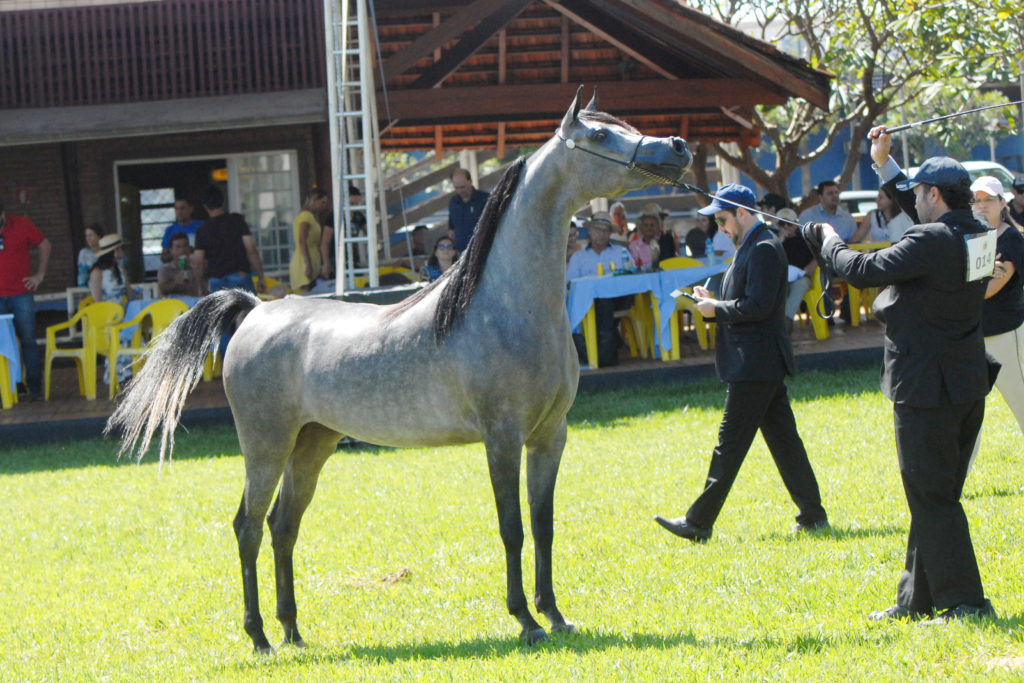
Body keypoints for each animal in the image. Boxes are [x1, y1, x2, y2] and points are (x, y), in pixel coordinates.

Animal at [108, 90, 692, 651]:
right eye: (601, 135)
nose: (678, 147)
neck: (505, 307)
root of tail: (254, 309)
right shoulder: (501, 438)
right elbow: (512, 528)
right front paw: (526, 622)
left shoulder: (550, 436)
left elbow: (543, 526)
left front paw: (556, 616)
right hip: (266, 445)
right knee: (248, 527)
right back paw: (259, 638)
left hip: (313, 443)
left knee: (282, 527)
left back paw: (293, 631)